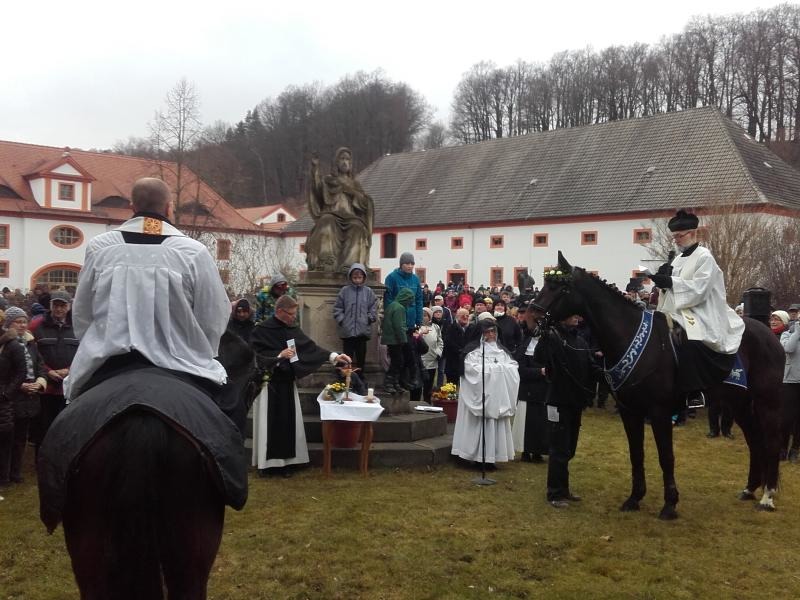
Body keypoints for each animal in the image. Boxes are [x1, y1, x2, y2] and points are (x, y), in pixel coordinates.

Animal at [528, 251, 784, 516]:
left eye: (560, 287)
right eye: (545, 284)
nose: (530, 318)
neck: (630, 335)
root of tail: (767, 333)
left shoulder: (660, 411)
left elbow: (666, 456)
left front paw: (670, 504)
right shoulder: (630, 411)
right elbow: (636, 454)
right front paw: (634, 498)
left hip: (767, 400)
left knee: (772, 440)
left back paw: (768, 495)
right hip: (739, 402)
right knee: (754, 439)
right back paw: (750, 489)